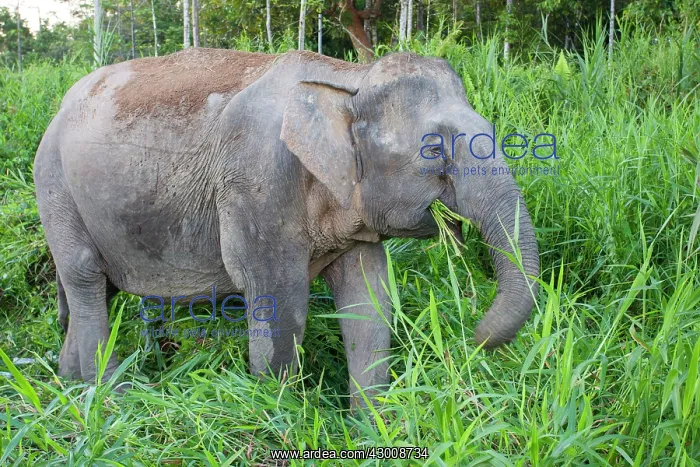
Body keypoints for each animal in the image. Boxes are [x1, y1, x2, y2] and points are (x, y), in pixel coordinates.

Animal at [33, 48, 539, 404]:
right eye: (434, 149)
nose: (470, 338)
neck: (348, 79)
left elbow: (369, 299)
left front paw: (370, 429)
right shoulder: (255, 182)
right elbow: (279, 295)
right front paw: (278, 414)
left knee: (94, 288)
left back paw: (71, 386)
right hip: (55, 187)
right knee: (85, 276)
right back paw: (113, 399)